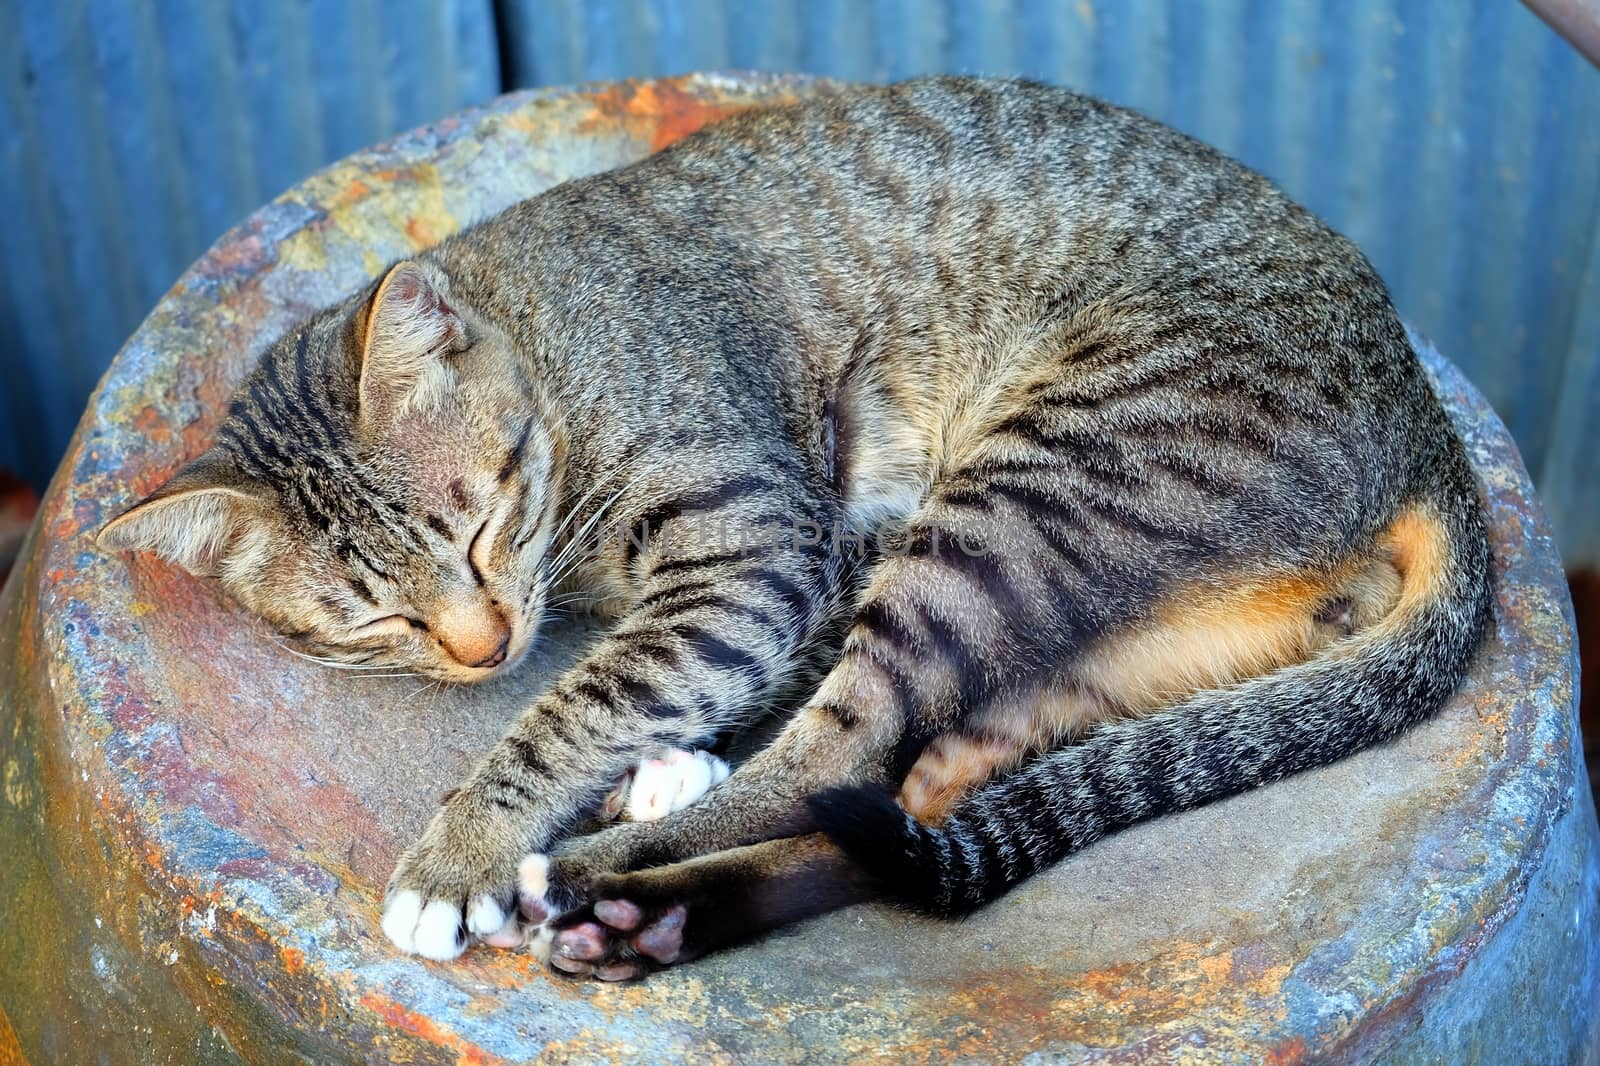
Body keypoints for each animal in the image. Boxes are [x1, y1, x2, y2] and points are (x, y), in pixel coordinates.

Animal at [106, 76, 1491, 979]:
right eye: (379, 618)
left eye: (482, 525)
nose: (481, 644)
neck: (546, 339)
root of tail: (1425, 423)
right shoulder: (792, 559)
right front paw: (651, 751)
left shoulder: (760, 543)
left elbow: (585, 701)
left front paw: (466, 848)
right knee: (897, 793)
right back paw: (655, 915)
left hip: (1034, 485)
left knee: (849, 746)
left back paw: (598, 874)